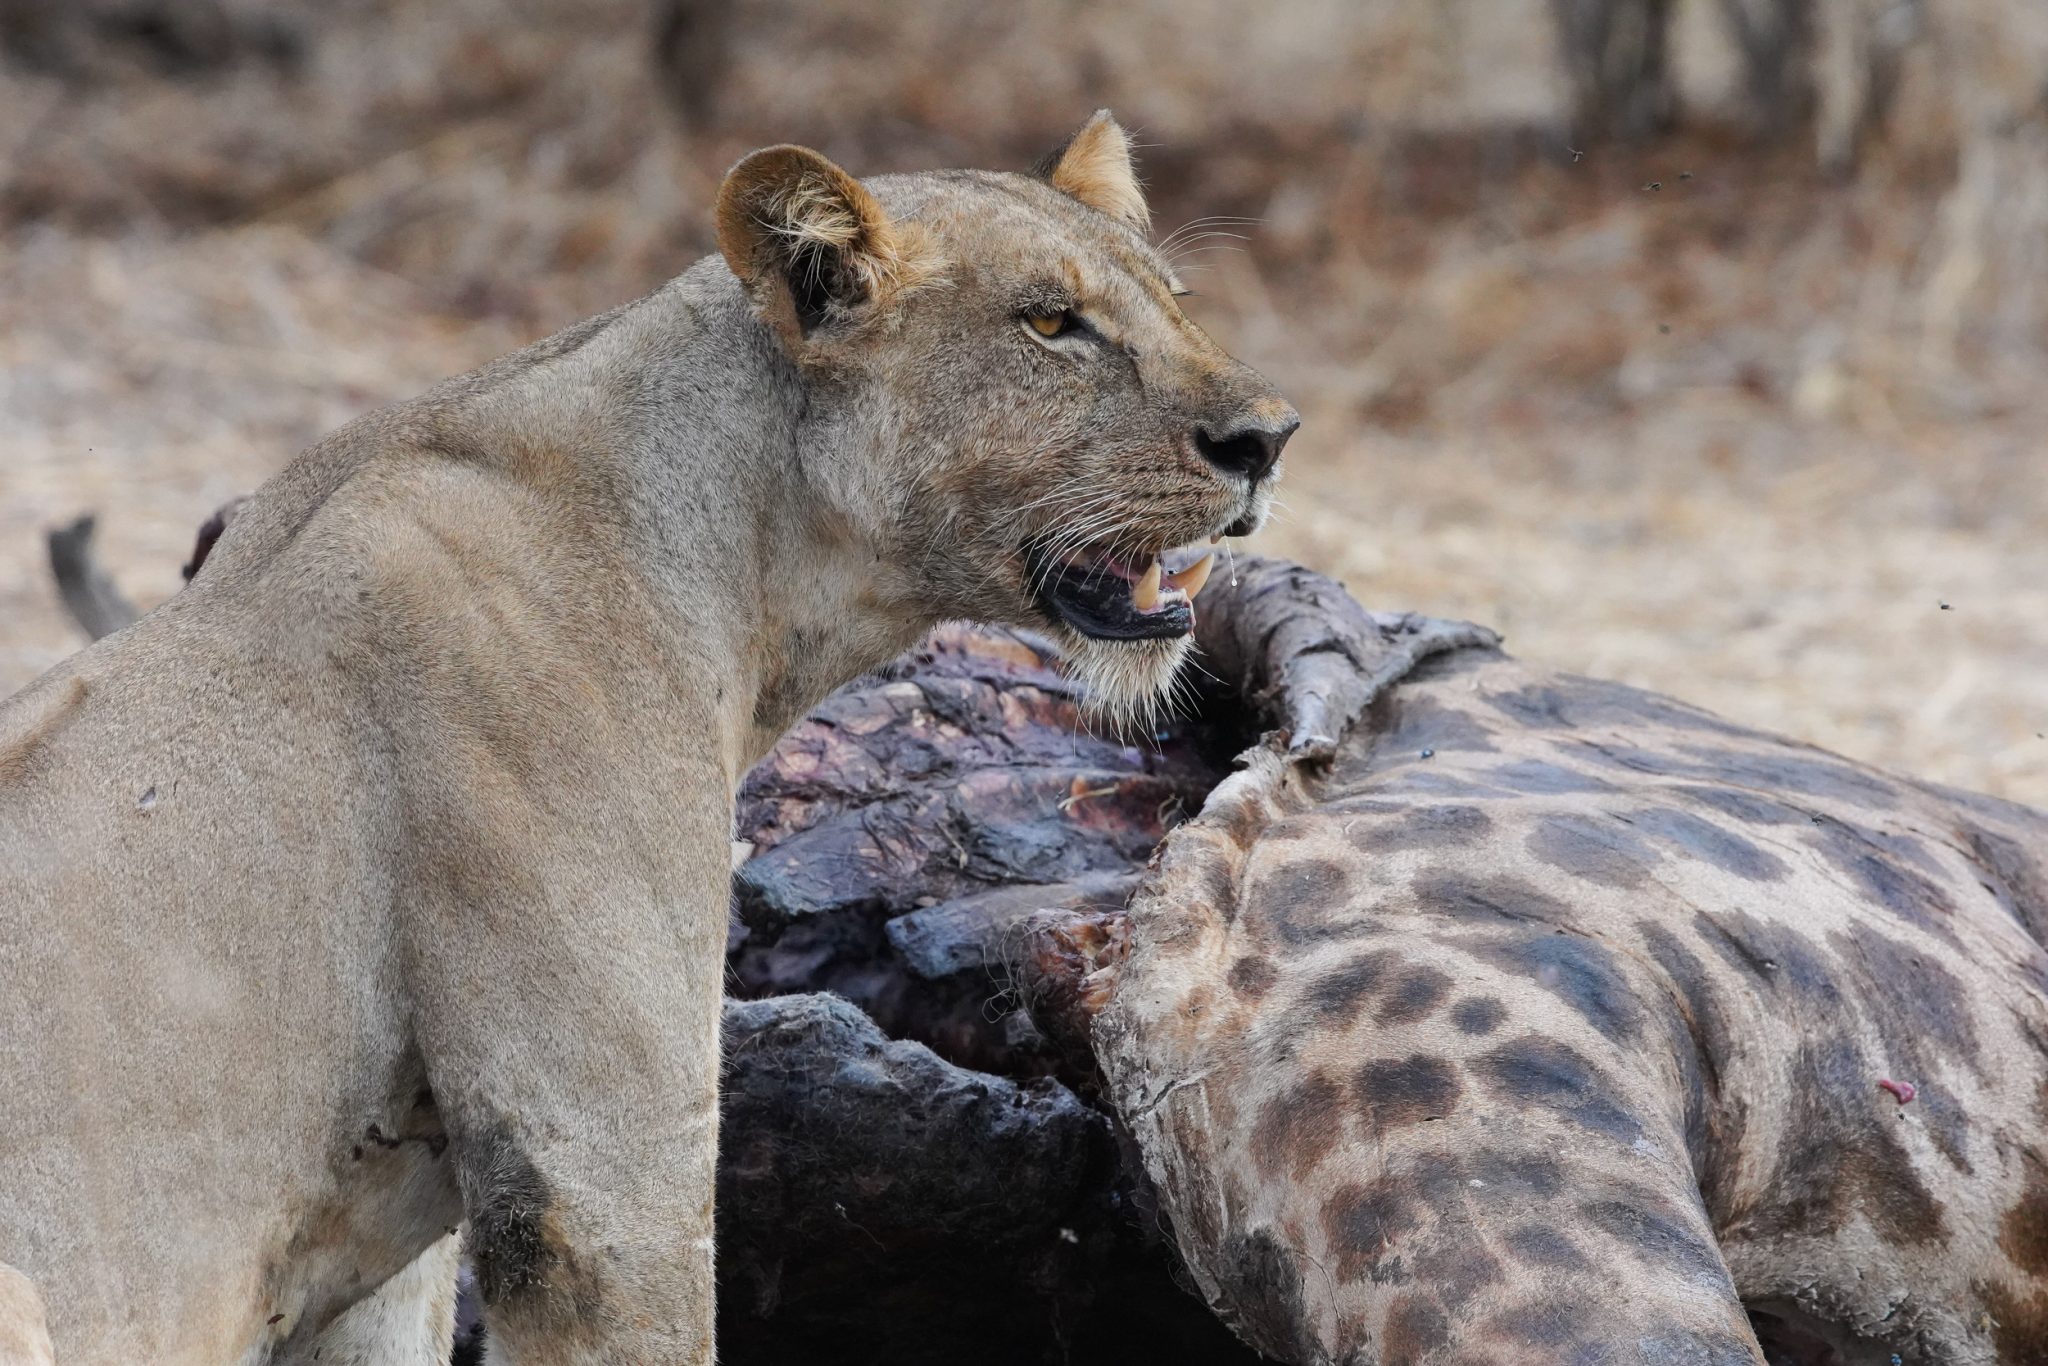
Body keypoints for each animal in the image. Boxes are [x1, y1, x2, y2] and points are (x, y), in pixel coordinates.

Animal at [0, 111, 1297, 1363]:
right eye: (1050, 323)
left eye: (1171, 297)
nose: (1268, 438)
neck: (749, 564)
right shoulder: (593, 1181)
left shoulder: (392, 1264)